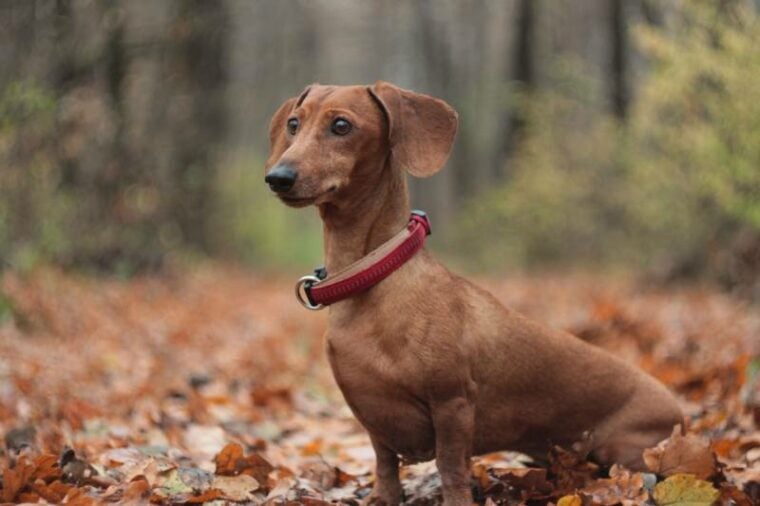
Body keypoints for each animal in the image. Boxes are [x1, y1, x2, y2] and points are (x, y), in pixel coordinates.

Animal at [266, 81, 684, 504]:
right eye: (293, 124)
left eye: (341, 125)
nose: (277, 177)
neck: (369, 278)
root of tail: (680, 412)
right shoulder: (374, 418)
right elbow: (384, 466)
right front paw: (383, 497)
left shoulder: (453, 404)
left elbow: (451, 468)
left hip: (624, 448)